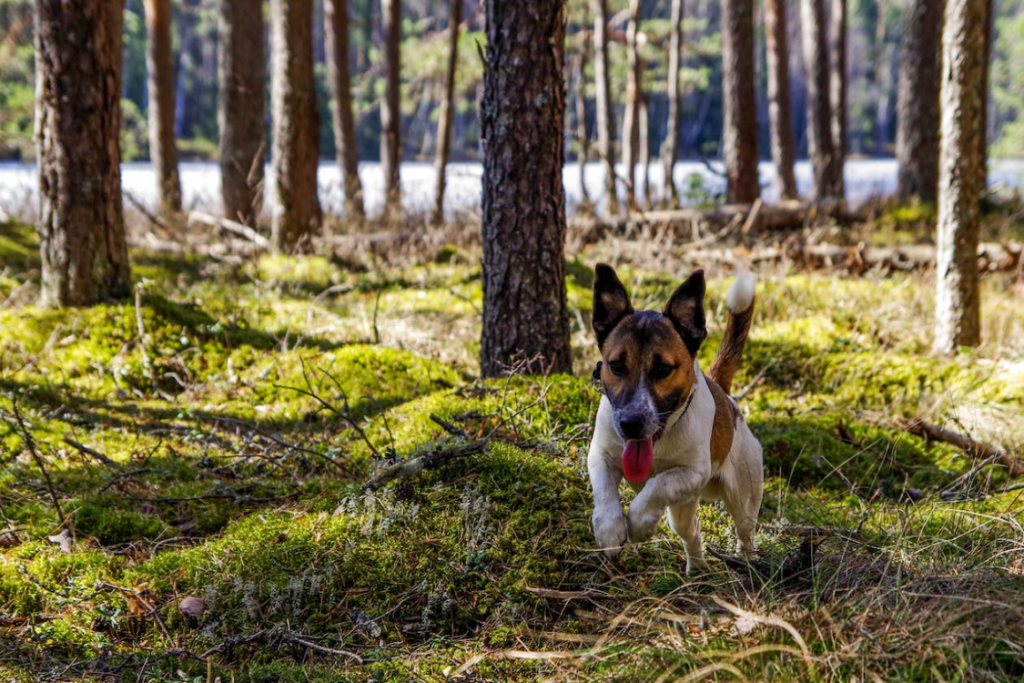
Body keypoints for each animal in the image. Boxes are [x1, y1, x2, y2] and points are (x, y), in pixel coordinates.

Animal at [589, 264, 765, 573]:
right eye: (616, 366)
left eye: (663, 369)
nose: (630, 424)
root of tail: (726, 397)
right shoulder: (600, 454)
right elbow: (604, 490)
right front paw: (609, 529)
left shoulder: (692, 473)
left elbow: (658, 485)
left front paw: (639, 523)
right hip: (685, 509)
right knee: (691, 529)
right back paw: (697, 568)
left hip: (743, 494)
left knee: (745, 532)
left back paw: (747, 563)